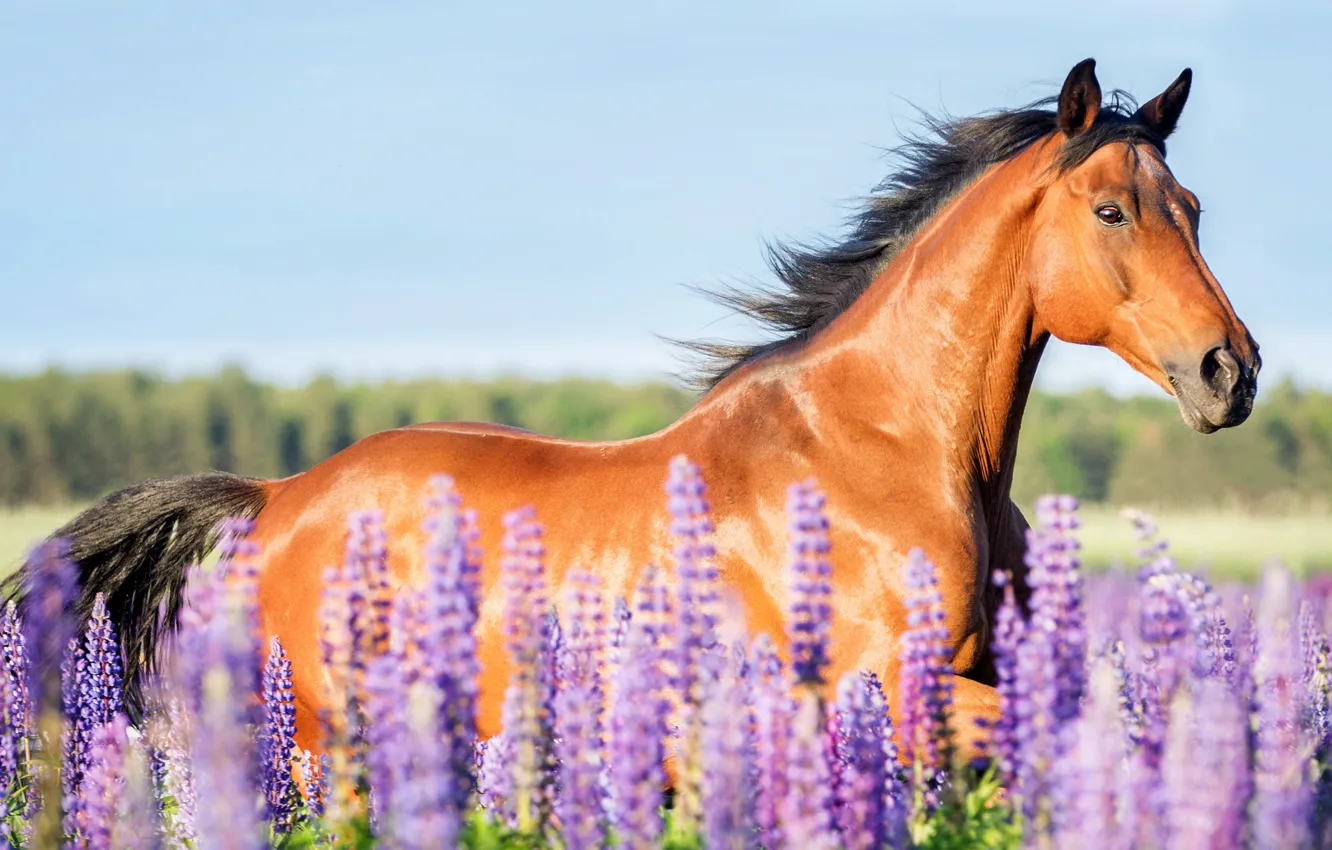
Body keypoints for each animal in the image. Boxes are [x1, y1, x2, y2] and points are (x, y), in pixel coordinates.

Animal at [15, 58, 1260, 763]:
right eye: (1110, 210)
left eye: (1194, 206)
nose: (1229, 370)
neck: (892, 453)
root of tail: (275, 498)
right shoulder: (892, 695)